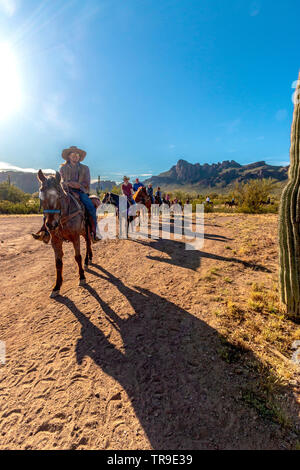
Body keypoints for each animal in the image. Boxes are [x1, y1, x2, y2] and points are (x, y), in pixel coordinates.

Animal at [38, 169, 93, 298]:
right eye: (41, 195)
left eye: (59, 195)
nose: (51, 224)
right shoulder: (55, 240)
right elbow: (58, 263)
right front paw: (56, 287)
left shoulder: (75, 237)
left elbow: (77, 257)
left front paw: (82, 277)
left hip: (86, 230)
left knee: (88, 243)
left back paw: (87, 260)